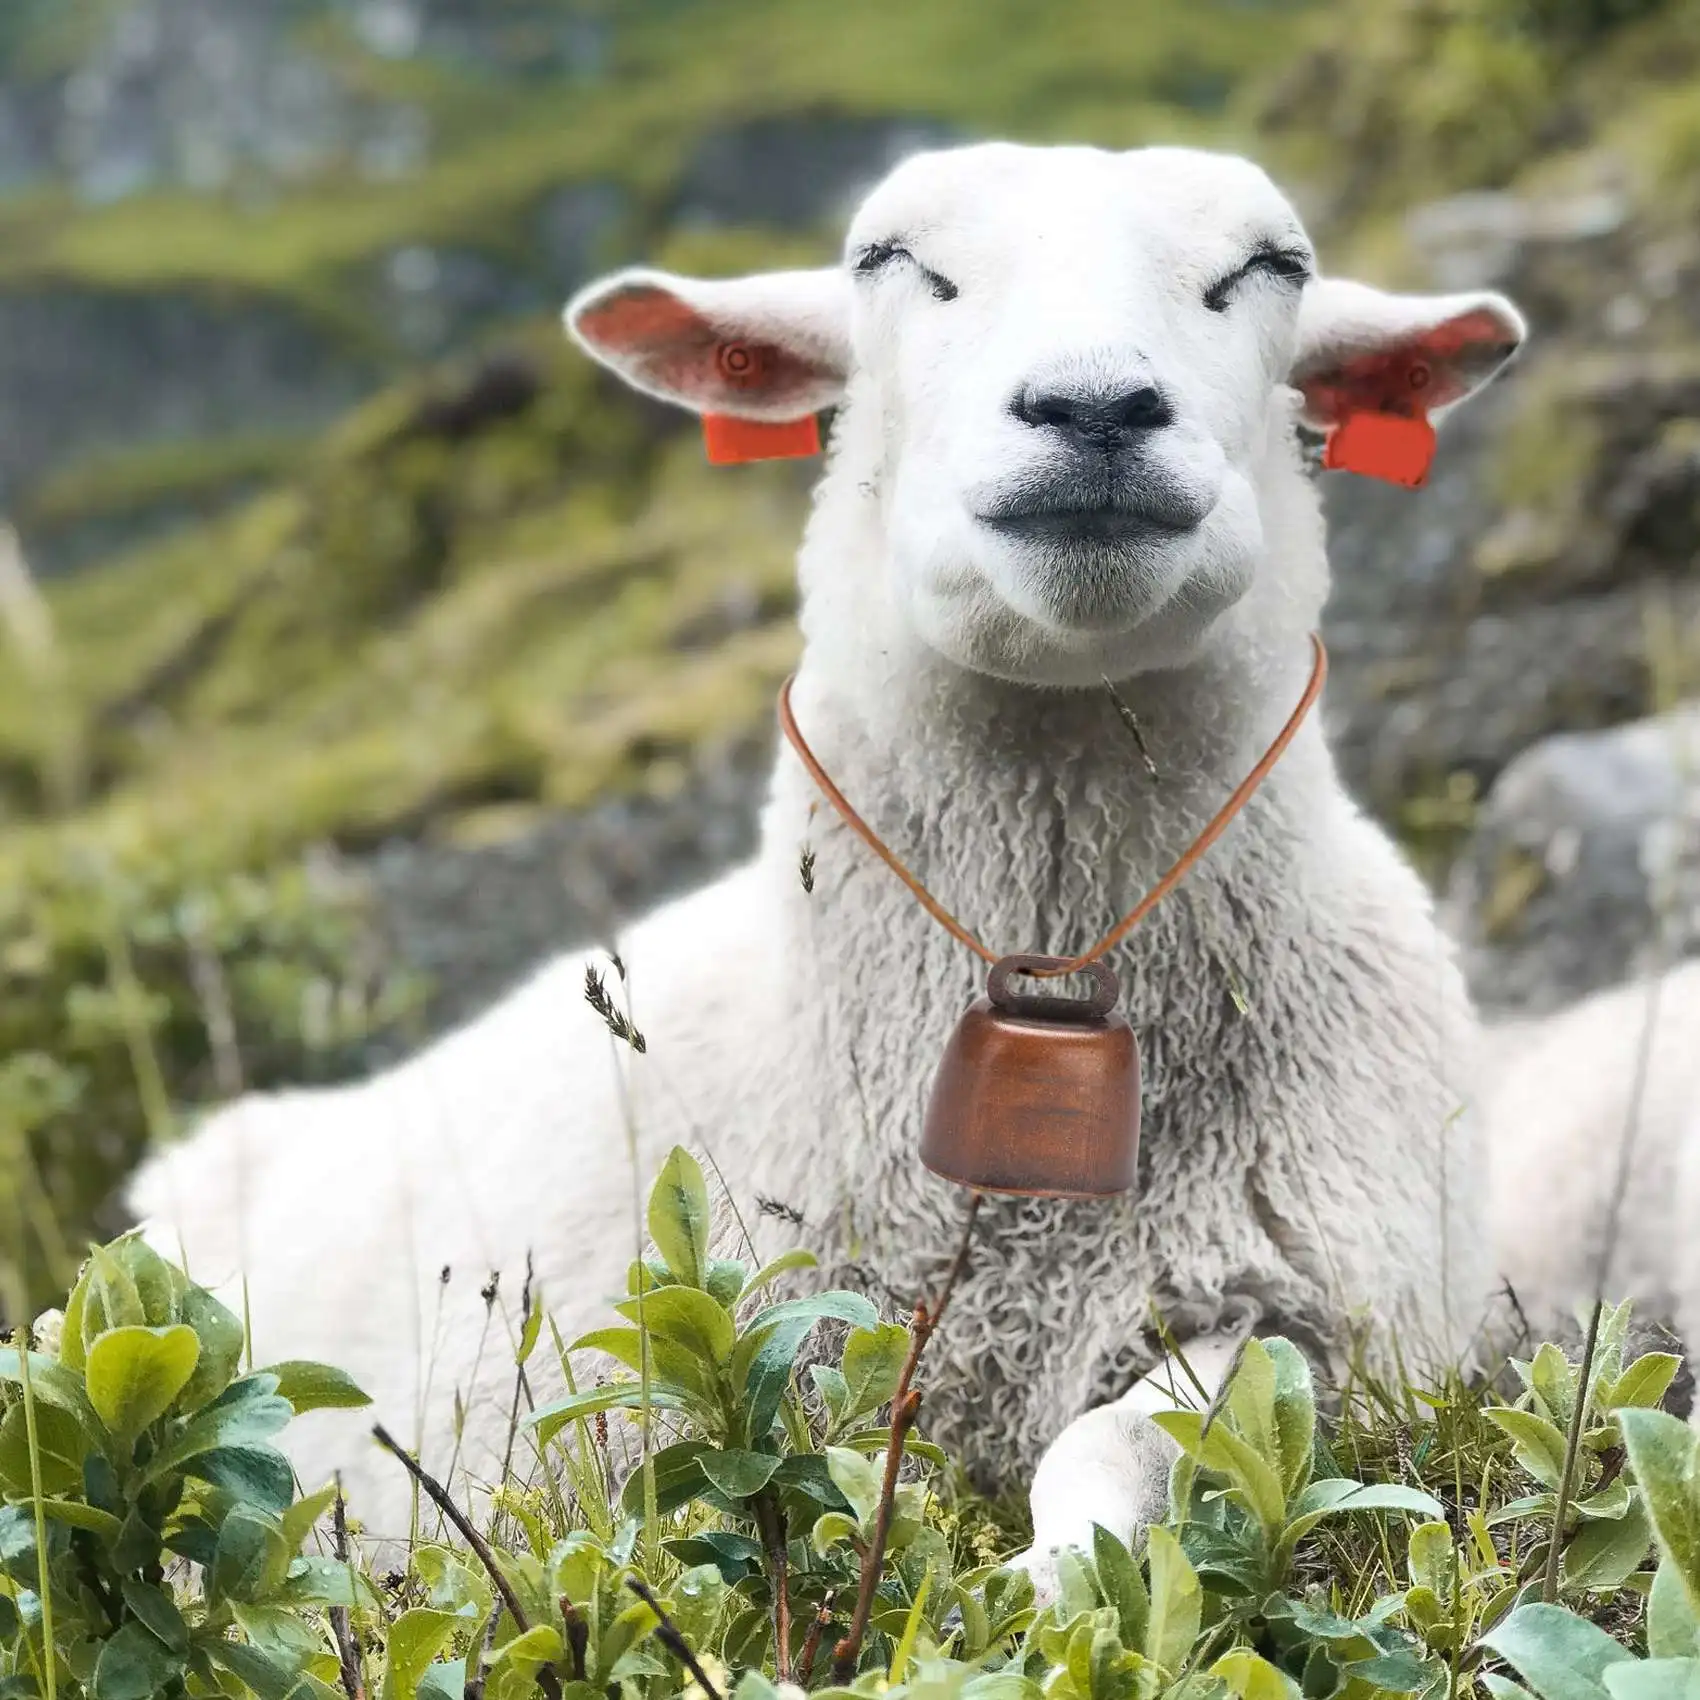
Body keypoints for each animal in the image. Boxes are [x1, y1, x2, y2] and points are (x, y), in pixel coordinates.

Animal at [129, 140, 1526, 1567]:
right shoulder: (674, 1370)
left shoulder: (1319, 1318)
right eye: (890, 261)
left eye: (1268, 267)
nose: (1093, 407)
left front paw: (1047, 1566)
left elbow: (1126, 1447)